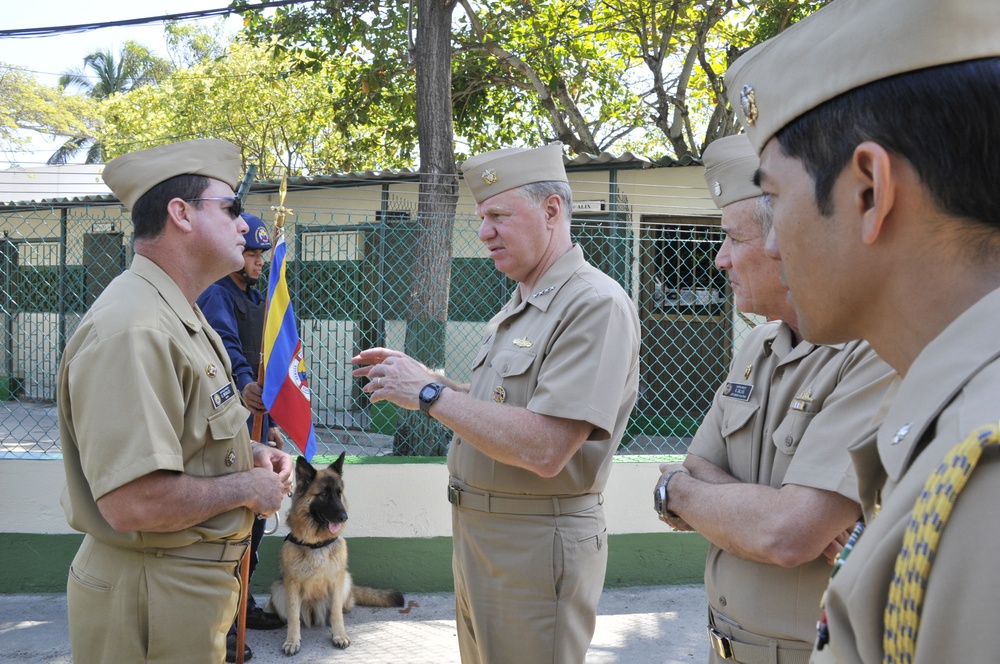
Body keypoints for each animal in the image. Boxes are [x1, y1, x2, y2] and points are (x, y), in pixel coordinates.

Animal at [270, 454, 406, 656]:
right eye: (324, 494)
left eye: (339, 493)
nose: (344, 517)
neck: (316, 544)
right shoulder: (291, 585)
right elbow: (294, 617)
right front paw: (292, 641)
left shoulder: (336, 582)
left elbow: (336, 614)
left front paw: (339, 635)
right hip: (278, 589)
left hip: (345, 581)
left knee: (340, 610)